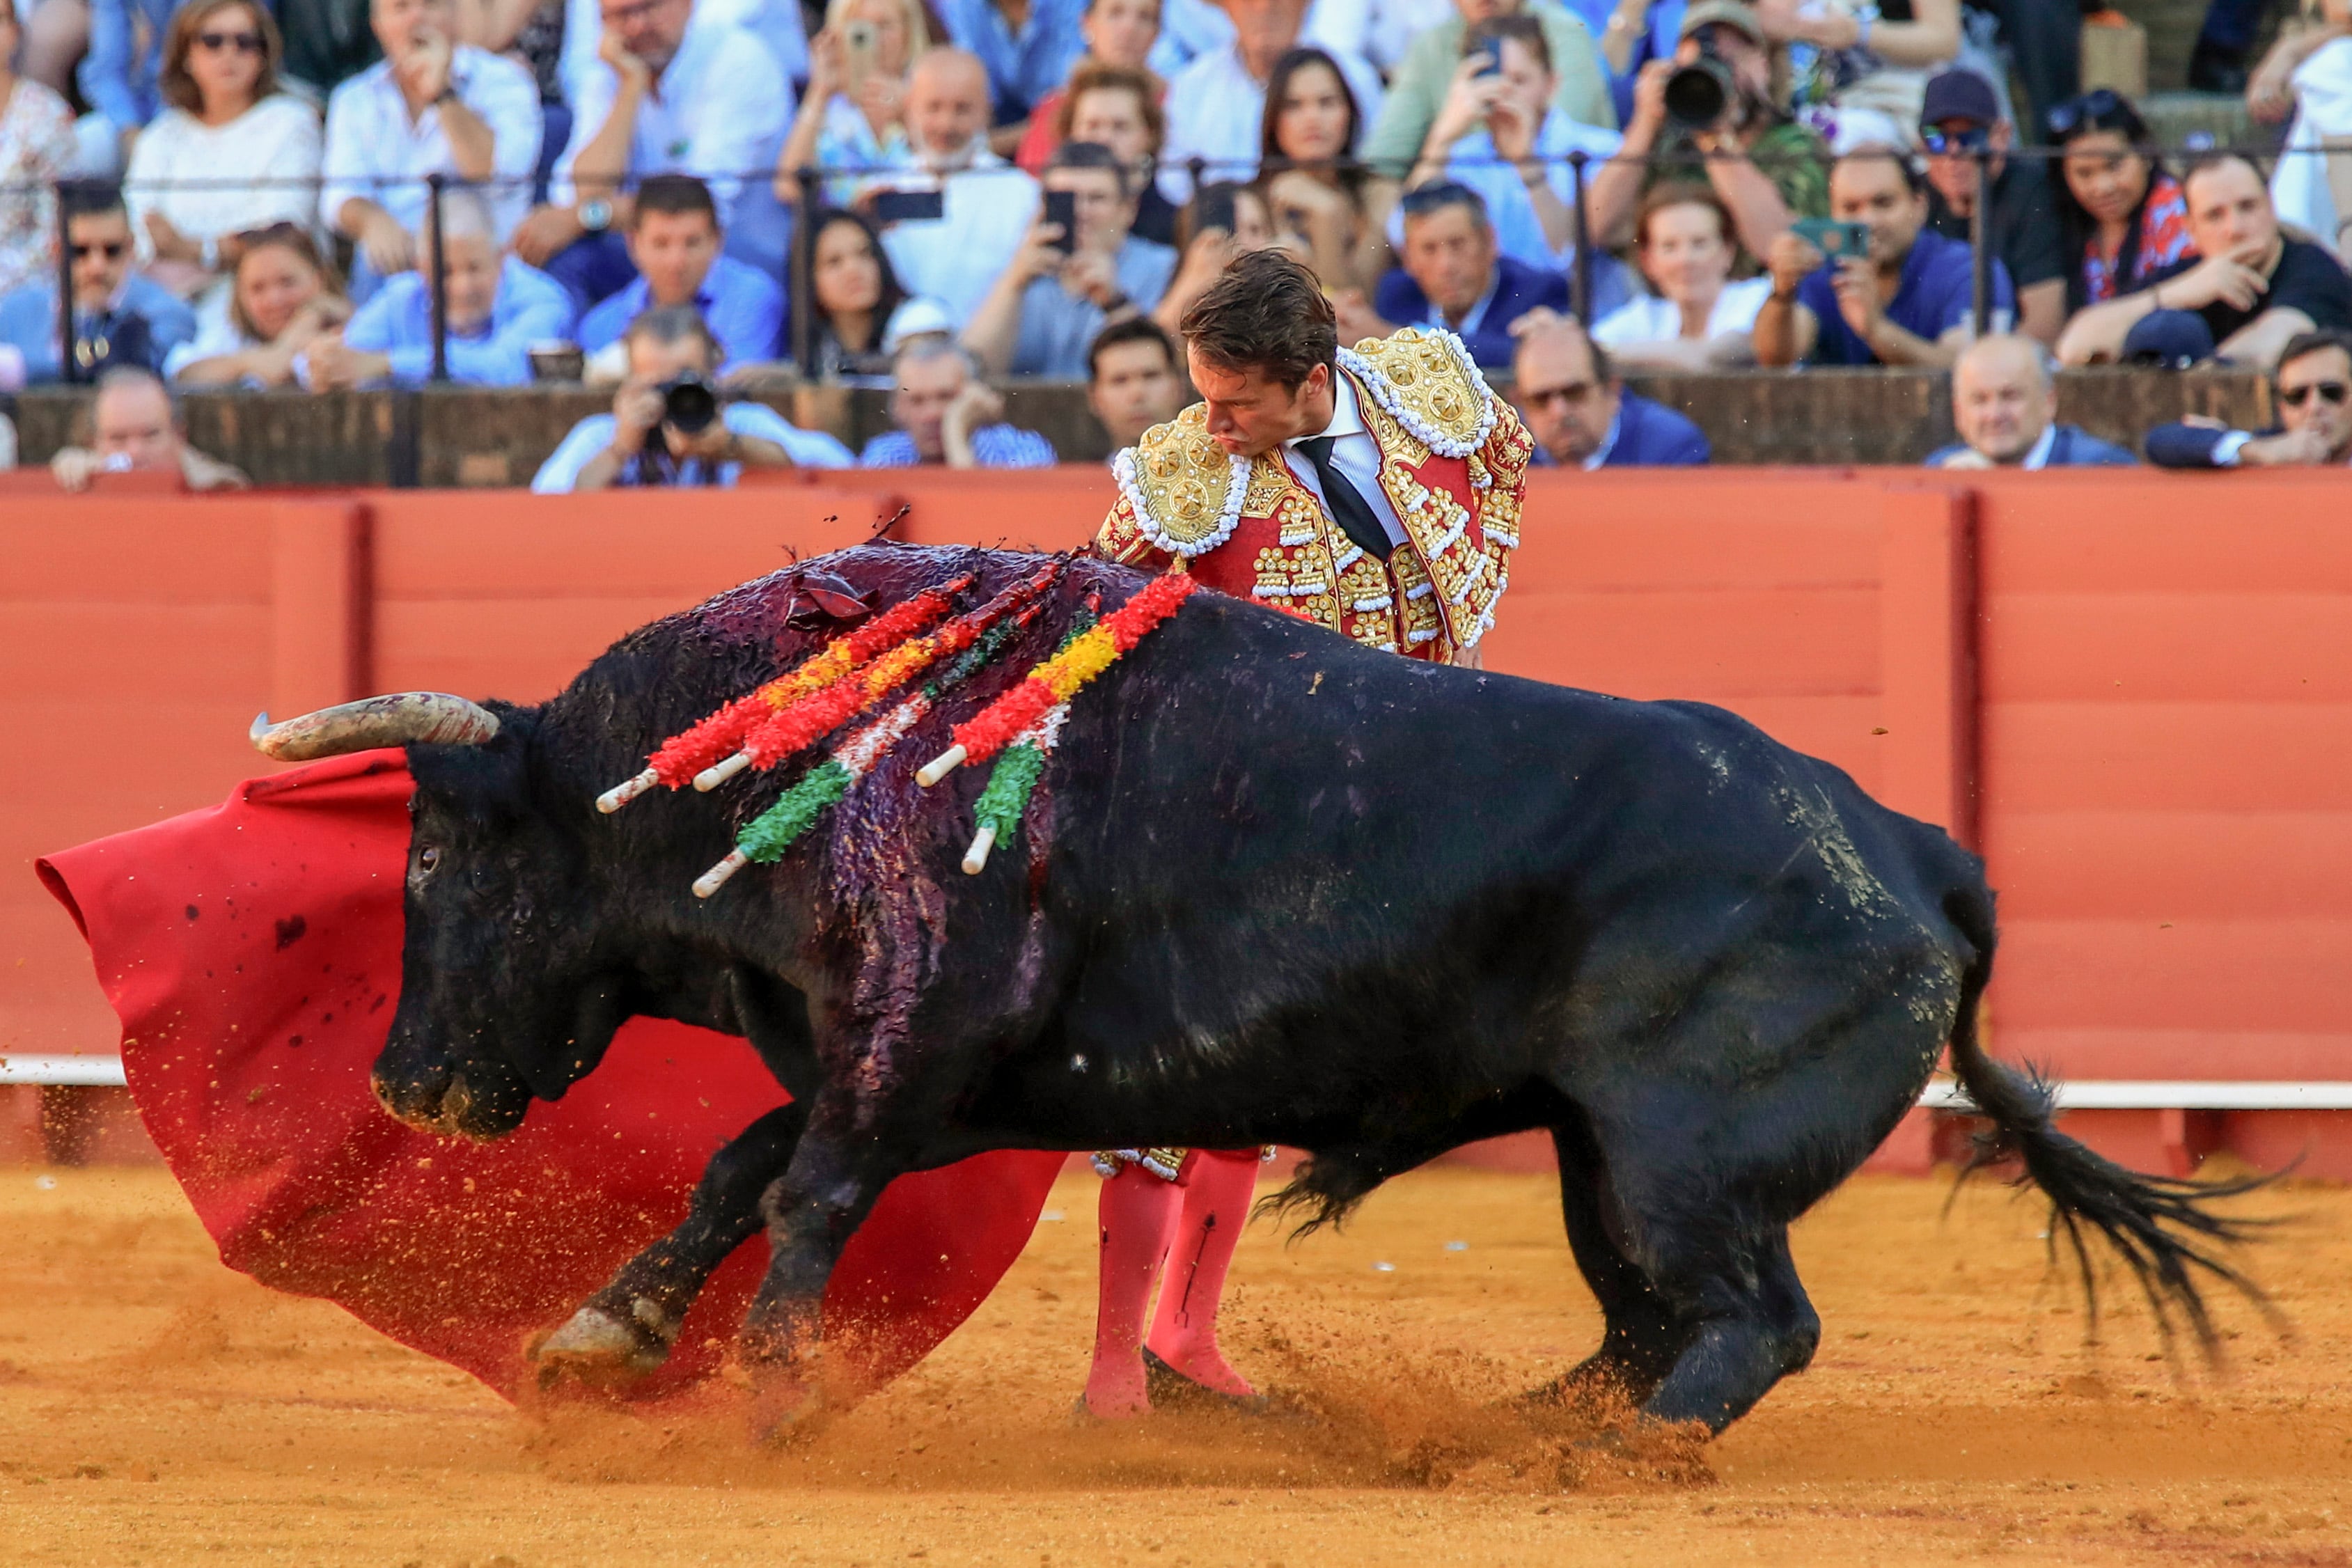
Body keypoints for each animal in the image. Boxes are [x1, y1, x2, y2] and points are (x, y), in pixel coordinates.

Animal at [294, 545, 2257, 1438]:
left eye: (437, 854)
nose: (403, 1084)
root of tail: (1910, 844)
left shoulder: (914, 1049)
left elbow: (806, 1194)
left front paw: (769, 1398)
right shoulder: (934, 1078)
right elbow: (738, 1170)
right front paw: (601, 1334)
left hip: (1680, 1150)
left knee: (1752, 1323)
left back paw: (1601, 1463)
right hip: (1596, 1155)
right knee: (1652, 1317)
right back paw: (1518, 1435)